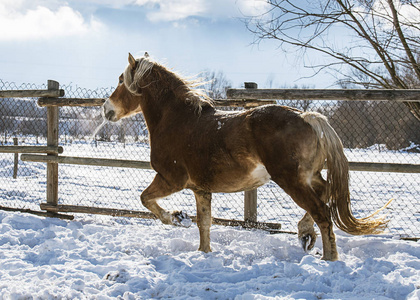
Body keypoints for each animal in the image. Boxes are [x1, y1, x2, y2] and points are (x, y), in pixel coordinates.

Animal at [102, 53, 390, 260]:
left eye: (121, 80)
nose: (106, 109)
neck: (178, 120)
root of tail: (309, 117)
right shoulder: (200, 188)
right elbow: (204, 223)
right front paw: (203, 252)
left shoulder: (171, 179)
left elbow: (145, 199)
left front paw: (177, 218)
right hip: (309, 177)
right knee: (327, 194)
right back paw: (305, 234)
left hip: (291, 180)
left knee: (322, 212)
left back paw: (328, 259)